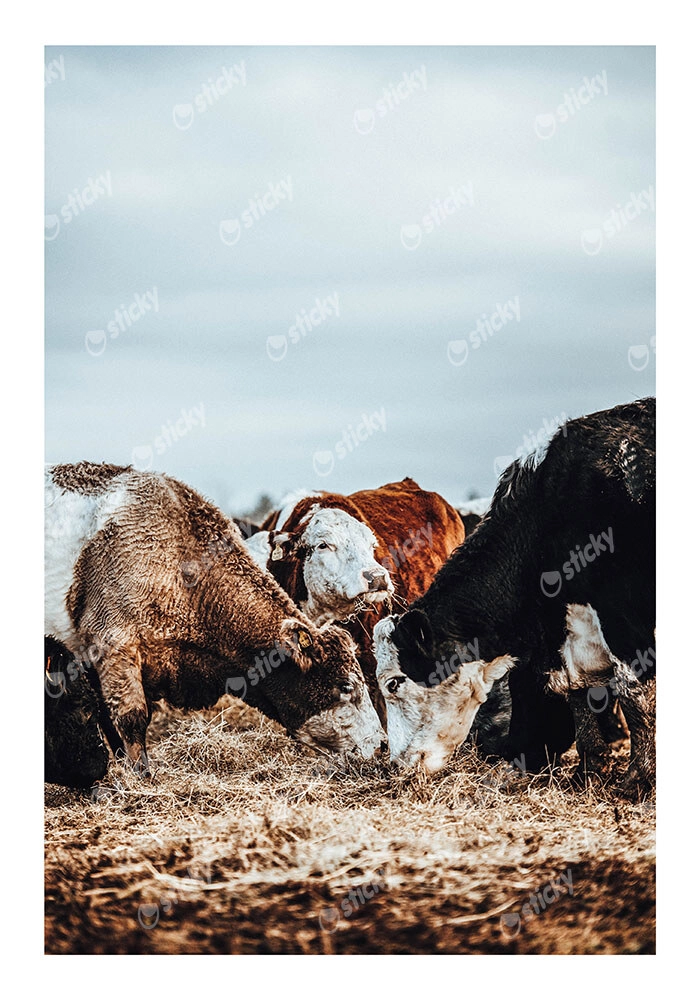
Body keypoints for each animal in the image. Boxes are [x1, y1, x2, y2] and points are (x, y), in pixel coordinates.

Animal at [375, 398, 655, 795]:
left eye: (394, 682)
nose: (396, 764)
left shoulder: (622, 614)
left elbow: (634, 694)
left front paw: (638, 781)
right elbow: (575, 690)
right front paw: (587, 772)